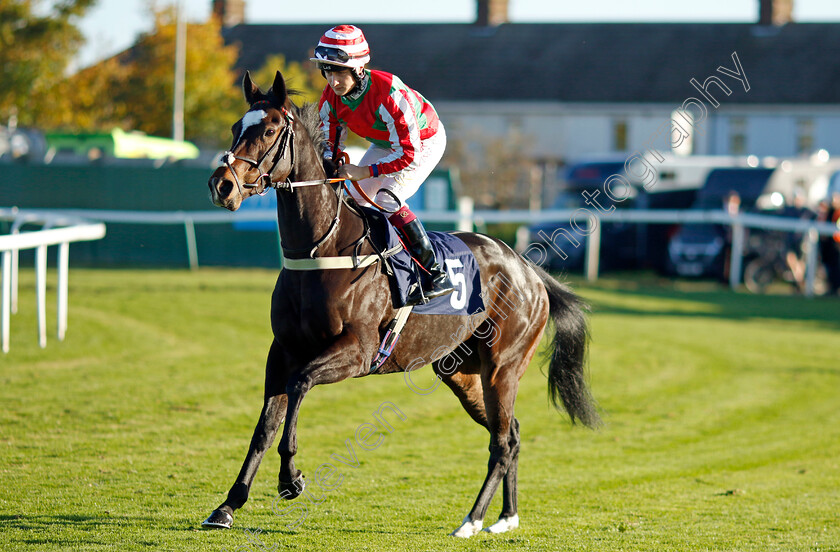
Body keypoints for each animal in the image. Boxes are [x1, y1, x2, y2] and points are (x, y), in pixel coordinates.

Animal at [202, 71, 596, 536]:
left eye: (268, 130)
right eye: (234, 128)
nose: (221, 185)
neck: (321, 249)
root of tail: (528, 269)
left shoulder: (357, 352)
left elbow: (299, 385)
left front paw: (291, 479)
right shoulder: (282, 350)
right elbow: (265, 425)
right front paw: (228, 505)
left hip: (504, 366)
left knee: (501, 442)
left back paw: (471, 520)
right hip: (461, 373)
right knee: (512, 432)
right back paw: (505, 517)